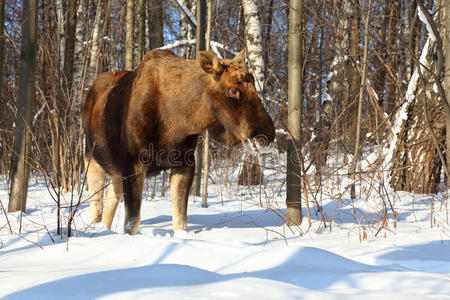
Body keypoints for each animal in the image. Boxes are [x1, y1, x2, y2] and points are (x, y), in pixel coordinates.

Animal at [82, 49, 276, 234]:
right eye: (234, 90)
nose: (268, 133)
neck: (177, 121)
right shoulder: (133, 163)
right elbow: (132, 223)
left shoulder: (185, 163)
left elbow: (181, 222)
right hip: (92, 159)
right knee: (96, 206)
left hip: (115, 170)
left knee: (111, 195)